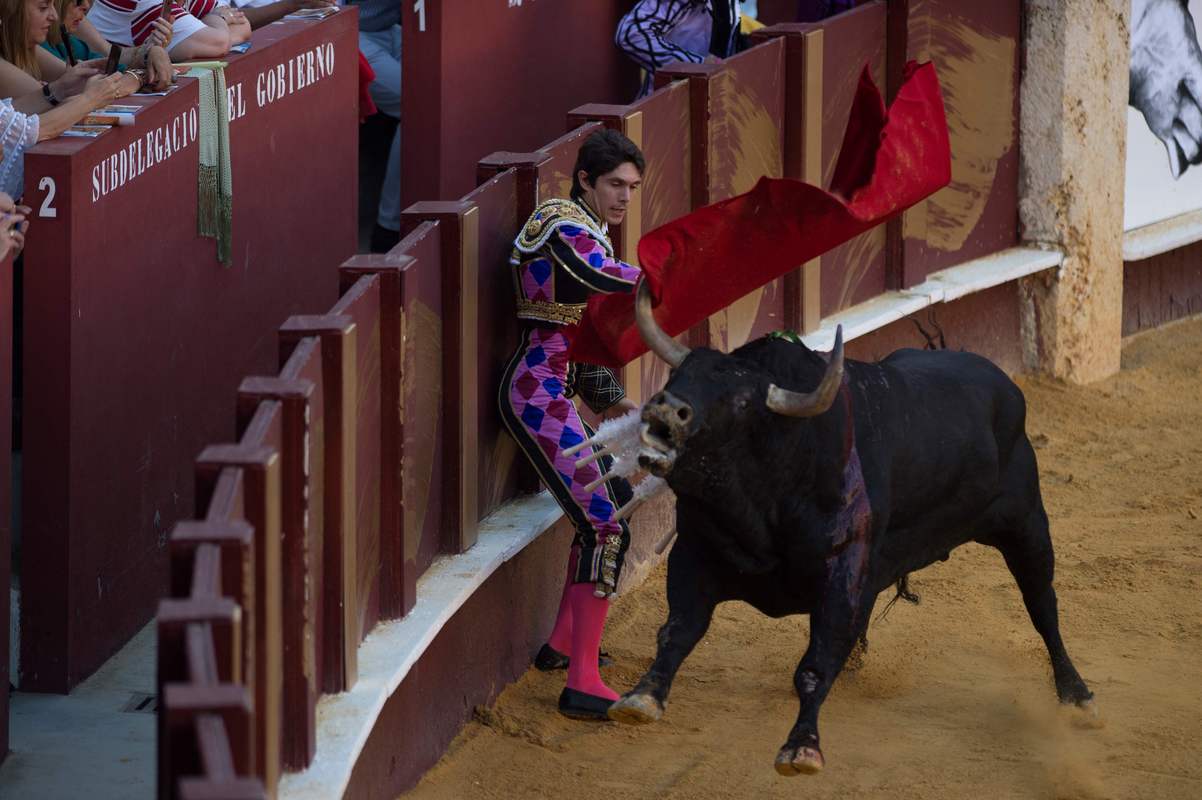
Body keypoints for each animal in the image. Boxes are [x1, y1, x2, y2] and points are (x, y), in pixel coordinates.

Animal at [615, 282, 1096, 773]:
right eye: (678, 375)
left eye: (742, 402)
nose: (666, 408)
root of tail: (1002, 383)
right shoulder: (695, 554)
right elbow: (679, 629)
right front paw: (642, 697)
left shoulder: (840, 573)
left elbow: (815, 664)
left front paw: (803, 746)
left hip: (1026, 524)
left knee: (1042, 605)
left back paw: (1076, 695)